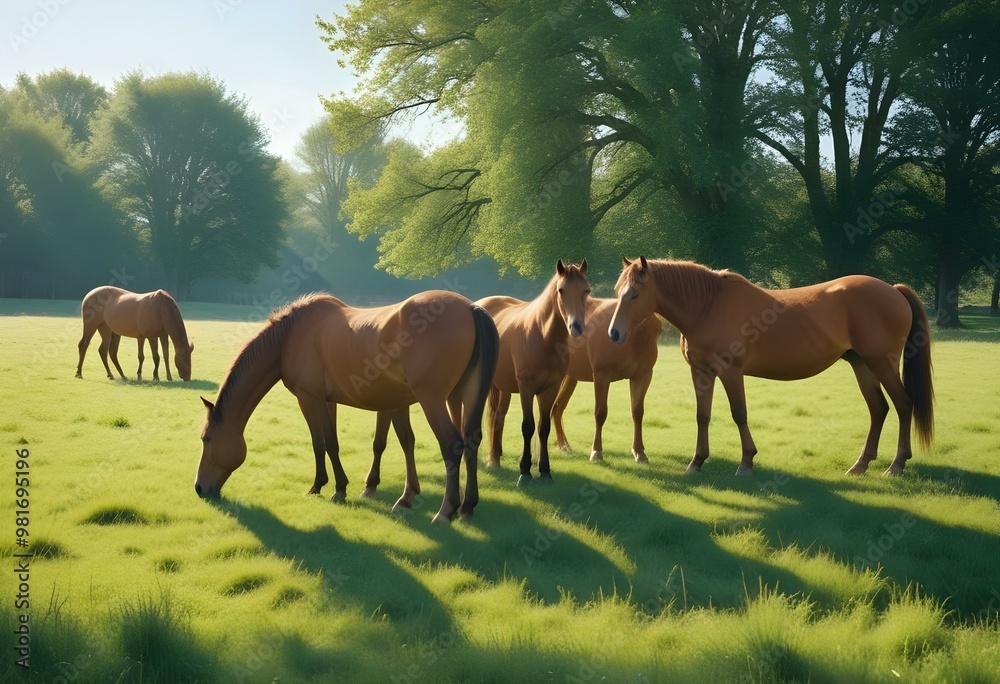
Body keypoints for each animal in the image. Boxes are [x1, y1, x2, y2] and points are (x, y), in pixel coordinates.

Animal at [194, 291, 499, 524]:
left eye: (206, 438)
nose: (199, 488)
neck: (291, 336)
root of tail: (470, 308)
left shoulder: (309, 398)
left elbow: (319, 443)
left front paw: (323, 486)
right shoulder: (330, 401)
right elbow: (337, 443)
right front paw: (353, 489)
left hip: (433, 400)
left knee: (452, 446)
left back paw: (445, 511)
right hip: (464, 396)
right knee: (471, 442)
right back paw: (467, 507)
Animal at [477, 259, 591, 485]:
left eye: (586, 290)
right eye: (561, 290)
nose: (576, 326)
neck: (542, 334)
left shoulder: (551, 387)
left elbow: (543, 427)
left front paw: (545, 471)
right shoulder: (526, 387)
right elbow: (527, 426)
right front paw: (524, 472)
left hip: (503, 386)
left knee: (498, 416)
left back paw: (495, 457)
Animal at [551, 297, 662, 463]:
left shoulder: (642, 376)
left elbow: (637, 412)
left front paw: (639, 452)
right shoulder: (601, 375)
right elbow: (600, 413)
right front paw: (596, 452)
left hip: (570, 377)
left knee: (557, 409)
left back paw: (564, 446)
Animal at [608, 257, 933, 477]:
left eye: (634, 294)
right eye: (617, 289)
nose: (614, 334)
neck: (708, 306)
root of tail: (893, 290)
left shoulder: (731, 372)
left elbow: (739, 414)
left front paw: (746, 462)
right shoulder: (701, 372)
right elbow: (703, 416)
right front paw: (696, 462)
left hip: (881, 364)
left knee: (903, 405)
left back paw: (896, 465)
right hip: (862, 363)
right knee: (878, 409)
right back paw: (860, 465)